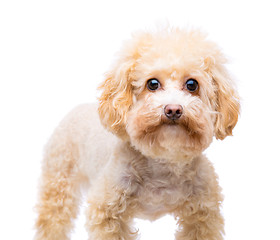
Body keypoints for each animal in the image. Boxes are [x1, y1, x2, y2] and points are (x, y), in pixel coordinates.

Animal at [35, 27, 240, 239]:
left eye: (192, 84)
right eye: (152, 84)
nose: (173, 109)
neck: (163, 161)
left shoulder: (203, 213)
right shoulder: (106, 211)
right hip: (58, 181)